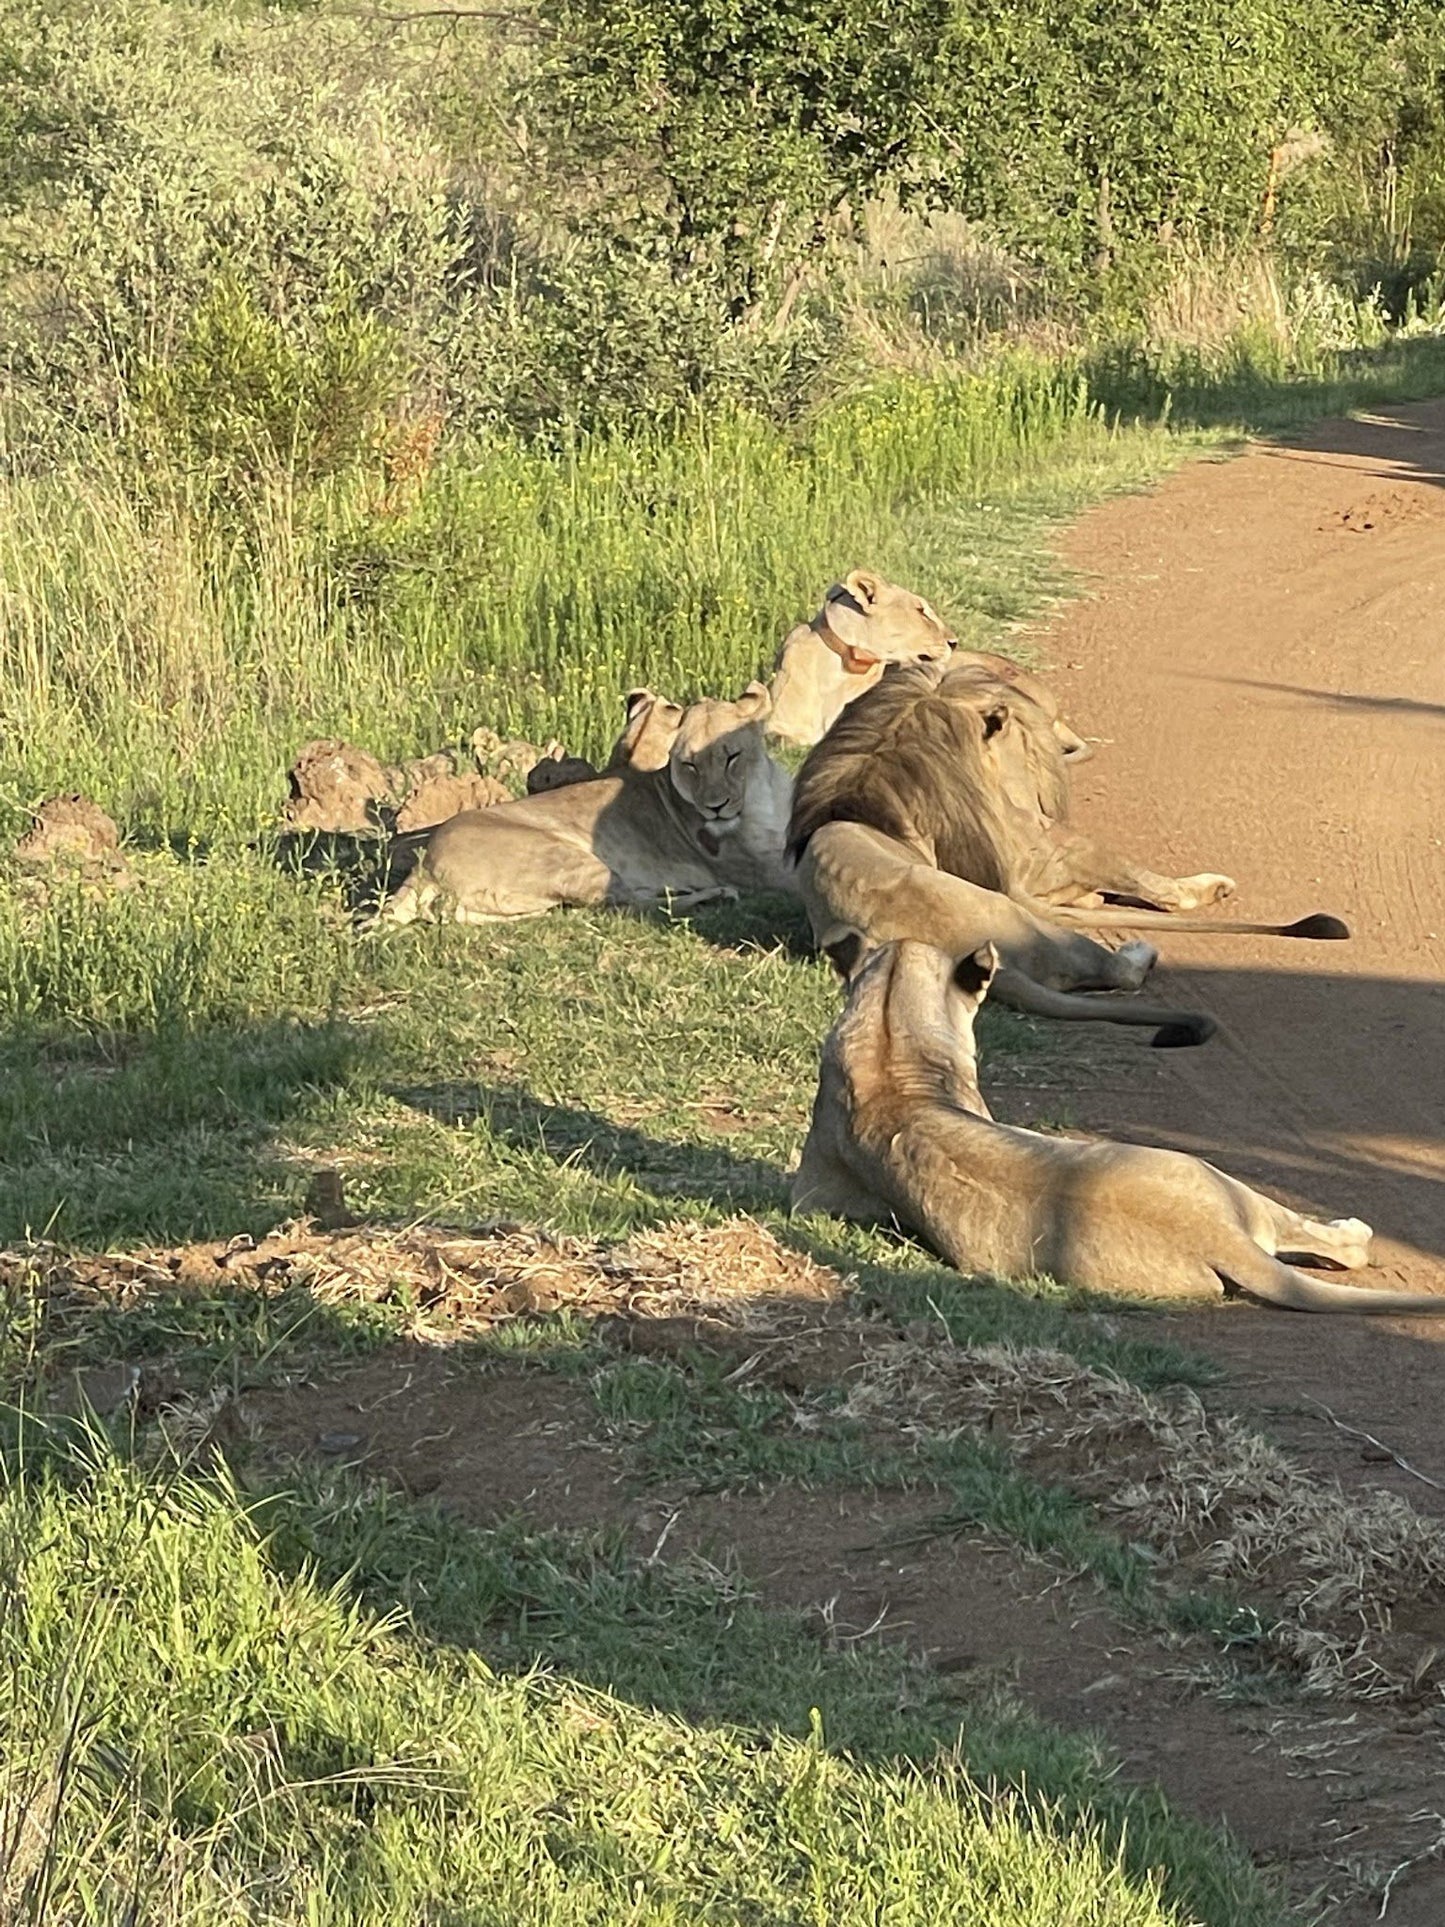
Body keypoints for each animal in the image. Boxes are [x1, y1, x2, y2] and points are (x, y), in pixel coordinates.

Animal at [375, 682, 793, 921]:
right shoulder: (766, 872)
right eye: (689, 764)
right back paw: (713, 897)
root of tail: (424, 864)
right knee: (628, 905)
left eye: (731, 757)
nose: (715, 807)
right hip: (569, 859)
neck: (762, 792)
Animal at [786, 655, 1356, 1040]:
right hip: (1039, 918)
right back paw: (1147, 940)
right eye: (1023, 739)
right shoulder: (1040, 850)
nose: (1046, 763)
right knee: (1122, 964)